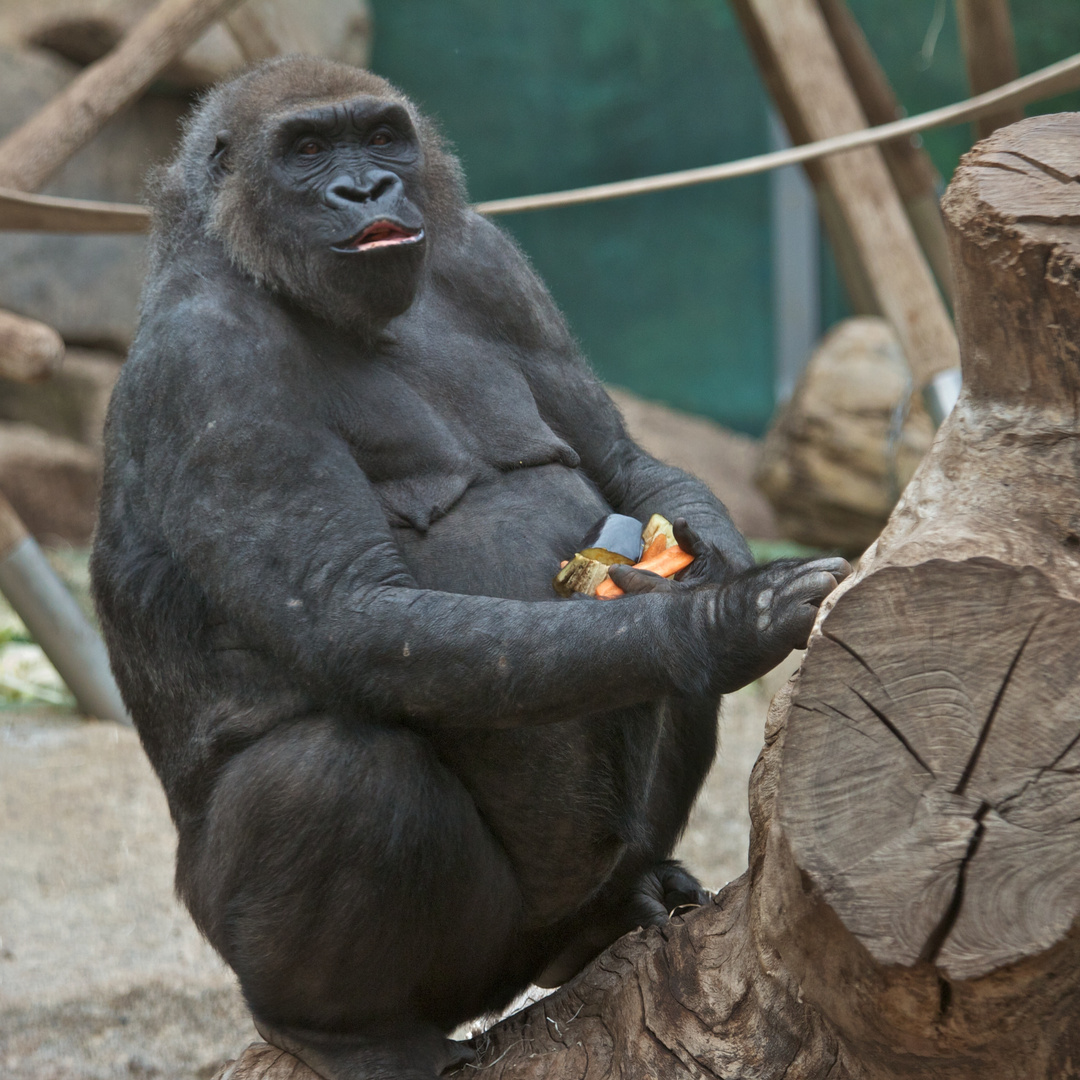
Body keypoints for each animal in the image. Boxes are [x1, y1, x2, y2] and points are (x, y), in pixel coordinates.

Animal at [92, 59, 846, 1080]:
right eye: (306, 149)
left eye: (381, 136)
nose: (367, 190)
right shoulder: (212, 361)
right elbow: (354, 614)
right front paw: (717, 620)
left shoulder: (491, 264)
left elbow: (619, 459)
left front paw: (713, 561)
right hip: (399, 964)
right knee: (335, 774)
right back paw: (339, 1028)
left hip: (541, 934)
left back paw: (617, 905)